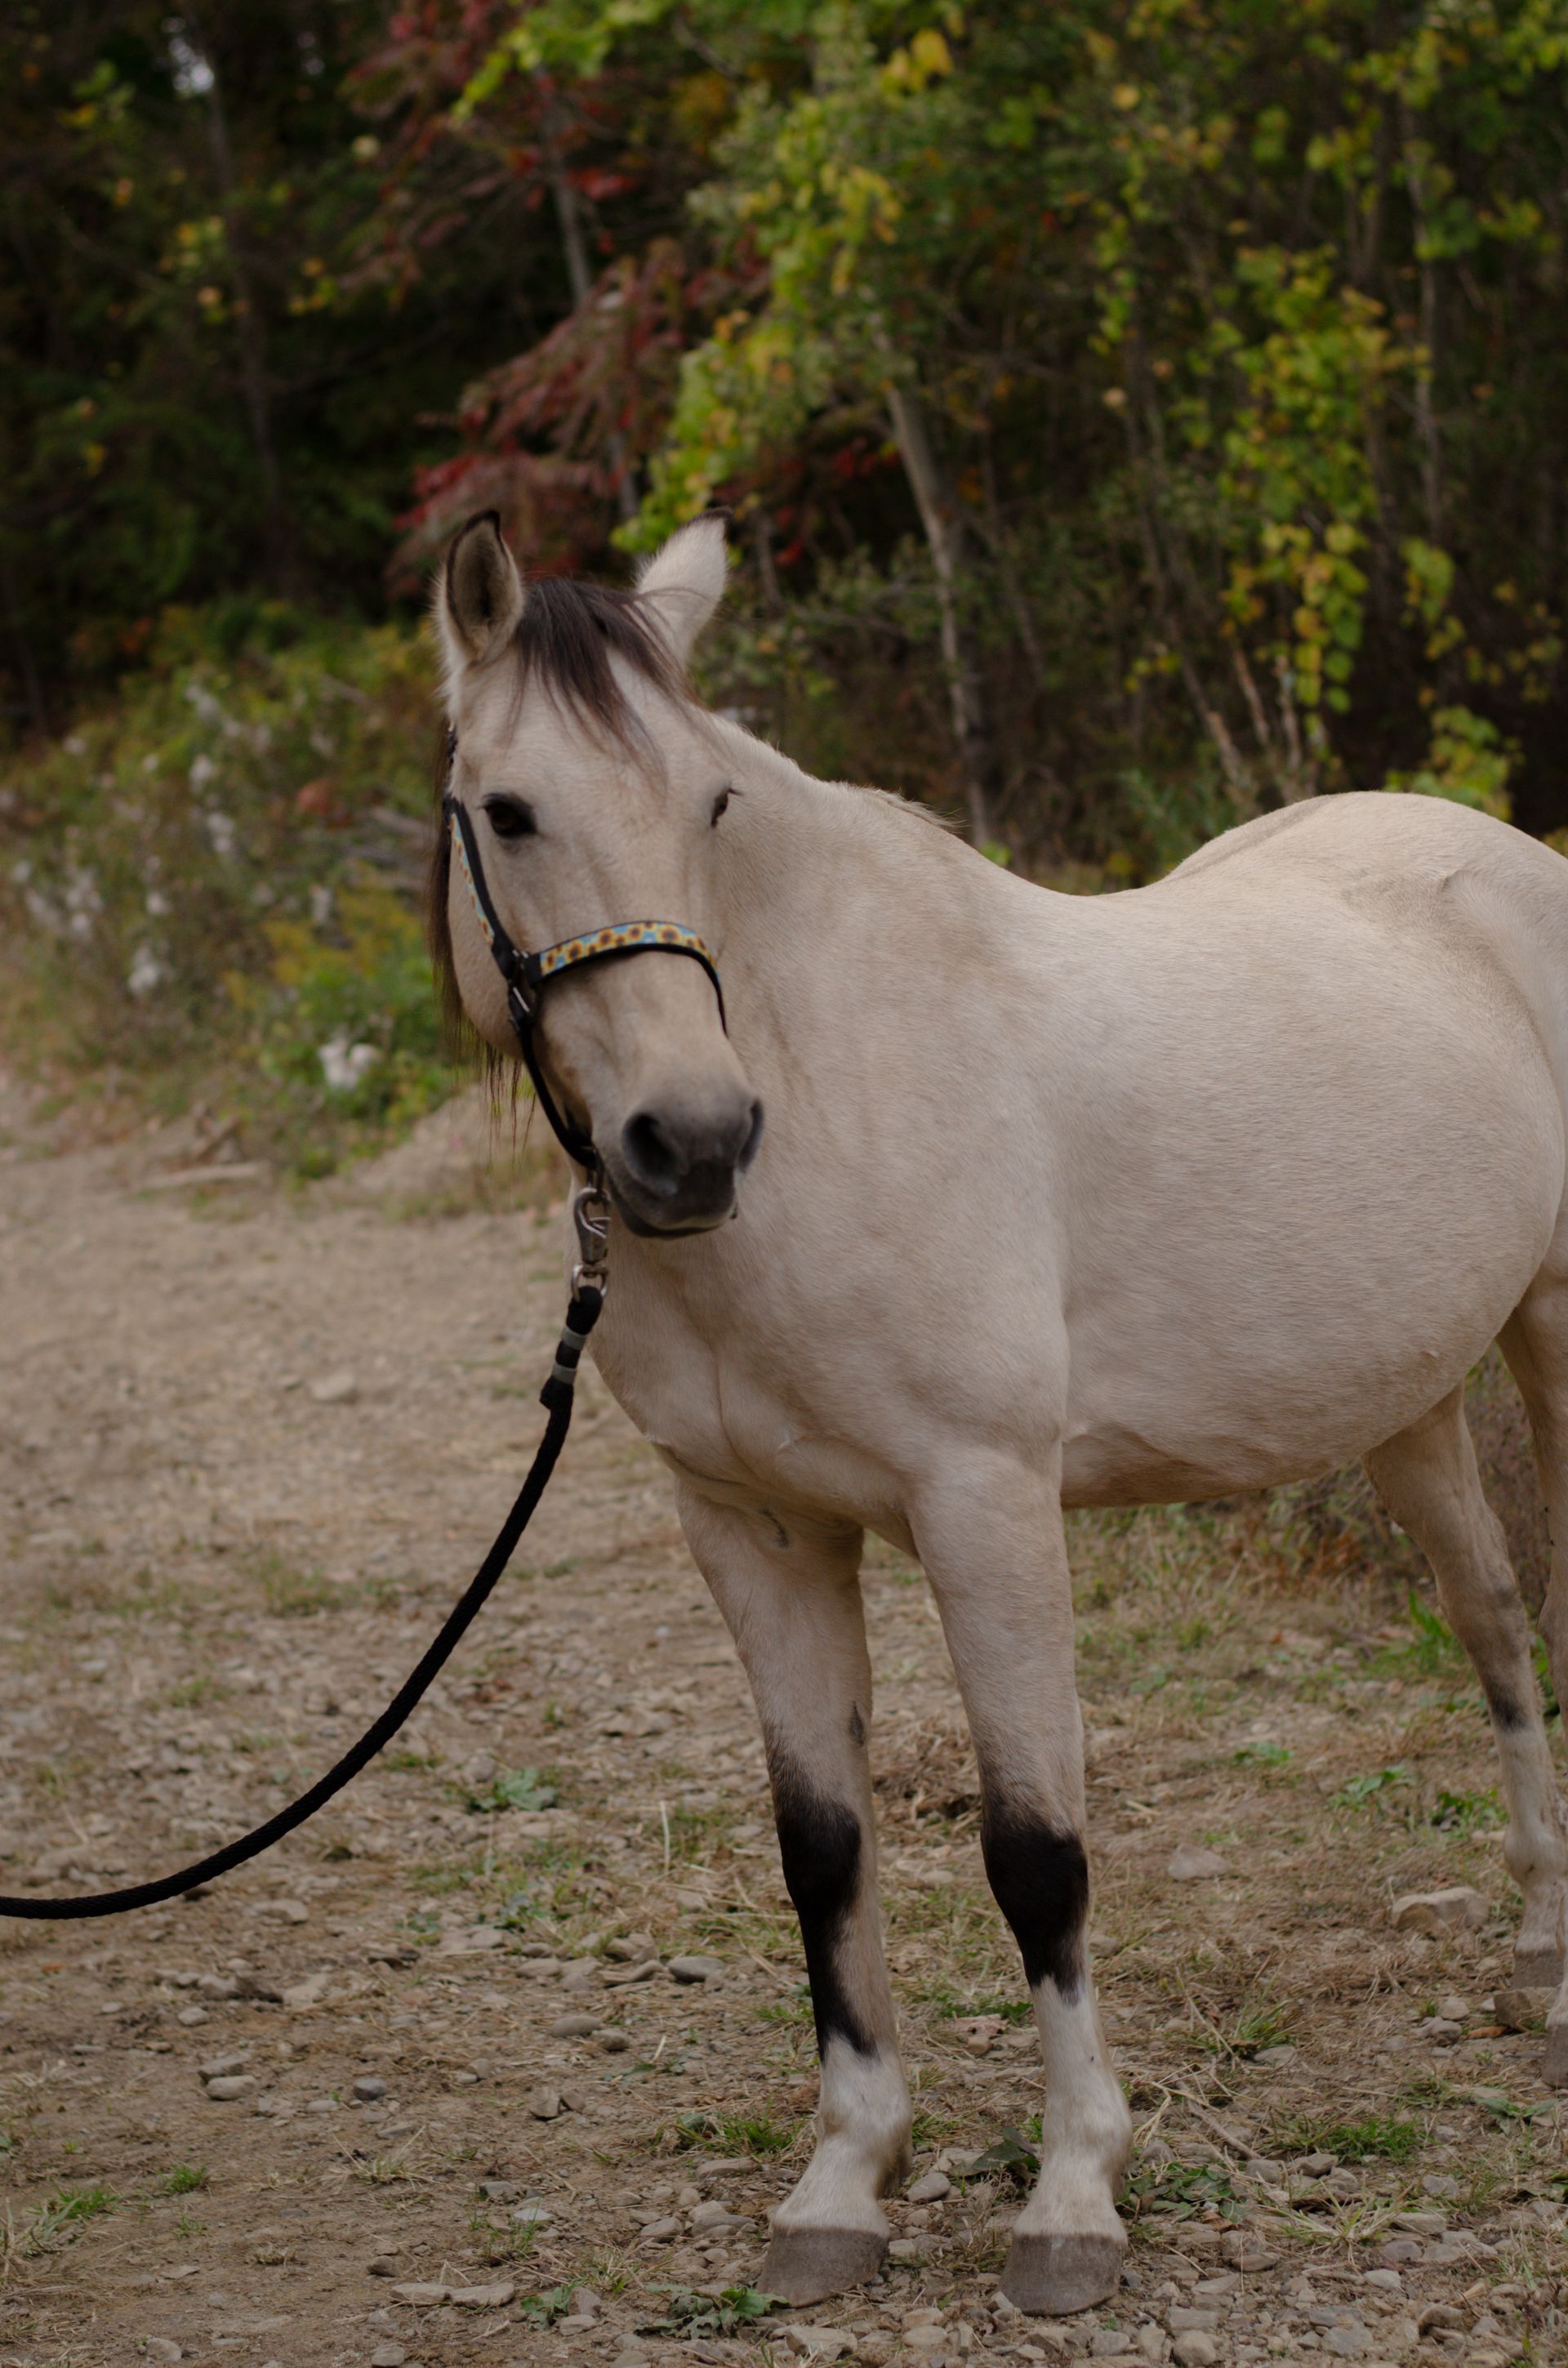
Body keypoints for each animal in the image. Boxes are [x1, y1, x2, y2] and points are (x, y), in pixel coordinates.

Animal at [429, 510, 1568, 2316]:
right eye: (510, 808)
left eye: (711, 803)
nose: (693, 1140)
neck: (830, 1084)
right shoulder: (751, 1527)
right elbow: (821, 1845)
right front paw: (844, 2178)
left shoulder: (986, 1505)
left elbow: (1037, 1848)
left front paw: (1075, 2198)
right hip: (1407, 1396)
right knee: (1496, 1622)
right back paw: (1536, 1951)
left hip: (1549, 1322)